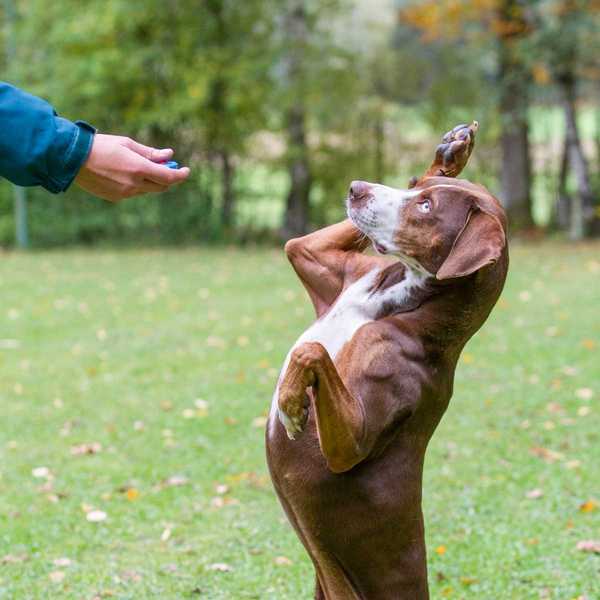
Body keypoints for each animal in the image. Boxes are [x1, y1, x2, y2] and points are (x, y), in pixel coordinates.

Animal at [264, 123, 508, 600]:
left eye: (426, 207)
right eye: (413, 187)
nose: (356, 188)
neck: (401, 299)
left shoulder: (351, 440)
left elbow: (312, 351)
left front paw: (292, 403)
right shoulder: (324, 262)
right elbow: (298, 245)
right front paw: (450, 153)